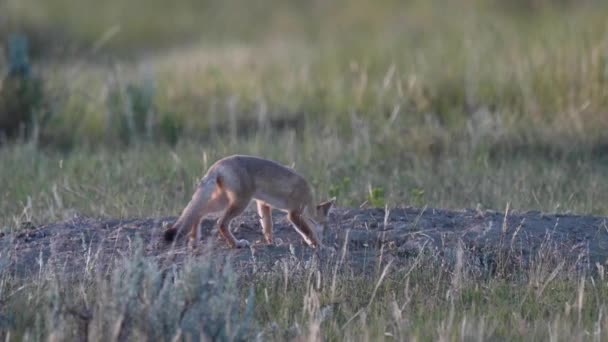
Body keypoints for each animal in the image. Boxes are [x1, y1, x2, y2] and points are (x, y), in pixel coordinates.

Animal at [164, 155, 334, 248]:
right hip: (239, 203)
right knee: (220, 222)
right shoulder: (294, 214)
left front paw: (270, 242)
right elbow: (308, 232)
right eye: (324, 225)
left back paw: (194, 241)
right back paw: (236, 244)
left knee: (198, 212)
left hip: (222, 202)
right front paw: (319, 245)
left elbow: (267, 226)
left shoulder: (263, 204)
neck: (308, 198)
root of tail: (217, 165)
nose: (324, 236)